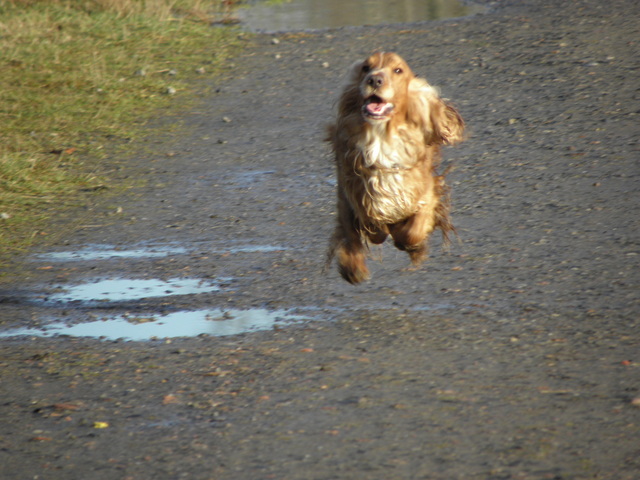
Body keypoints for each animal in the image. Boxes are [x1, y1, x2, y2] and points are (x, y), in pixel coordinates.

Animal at [328, 51, 462, 284]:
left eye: (398, 70)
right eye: (366, 68)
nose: (374, 80)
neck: (382, 137)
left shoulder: (425, 192)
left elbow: (413, 230)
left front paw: (411, 244)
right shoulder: (351, 194)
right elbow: (360, 229)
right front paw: (353, 268)